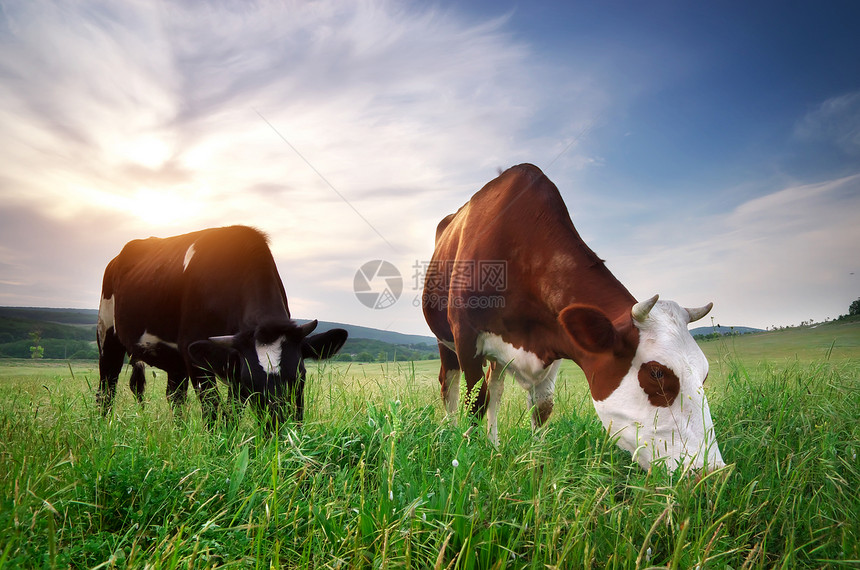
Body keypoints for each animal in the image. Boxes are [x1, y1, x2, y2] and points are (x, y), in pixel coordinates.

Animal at [96, 224, 346, 424]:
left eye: (299, 376)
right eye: (251, 382)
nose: (277, 428)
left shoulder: (233, 363)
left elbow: (232, 412)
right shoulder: (196, 355)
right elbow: (212, 409)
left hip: (174, 361)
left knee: (175, 397)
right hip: (107, 333)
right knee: (106, 389)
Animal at [424, 163, 724, 470]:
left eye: (705, 373)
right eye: (657, 373)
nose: (713, 473)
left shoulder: (553, 338)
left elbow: (541, 407)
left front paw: (535, 462)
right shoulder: (466, 336)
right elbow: (475, 402)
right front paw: (469, 458)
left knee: (496, 389)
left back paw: (494, 446)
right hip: (444, 341)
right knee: (450, 386)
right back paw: (453, 435)